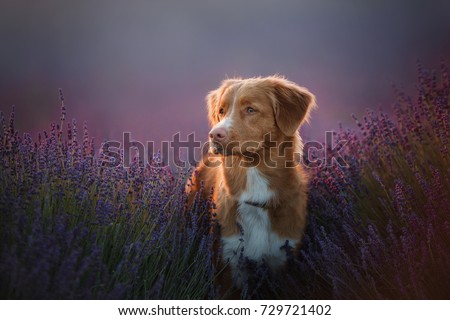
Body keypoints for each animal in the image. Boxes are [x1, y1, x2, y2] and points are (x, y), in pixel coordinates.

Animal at [186, 75, 316, 292]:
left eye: (250, 109)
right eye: (221, 111)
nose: (214, 135)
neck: (253, 175)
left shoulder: (283, 258)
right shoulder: (228, 258)